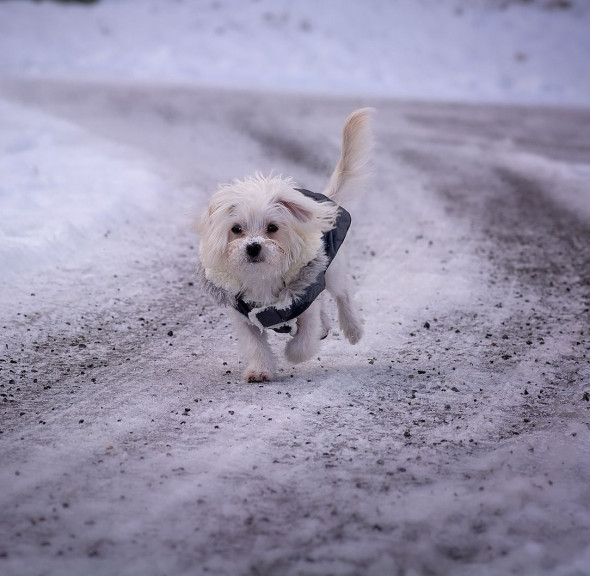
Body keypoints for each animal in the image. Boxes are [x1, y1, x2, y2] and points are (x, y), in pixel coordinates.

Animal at [198, 109, 374, 382]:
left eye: (272, 228)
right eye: (236, 229)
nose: (253, 246)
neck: (262, 277)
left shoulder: (304, 300)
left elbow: (305, 341)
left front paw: (294, 353)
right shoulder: (244, 316)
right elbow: (255, 345)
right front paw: (259, 370)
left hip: (330, 270)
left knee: (342, 294)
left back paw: (353, 328)